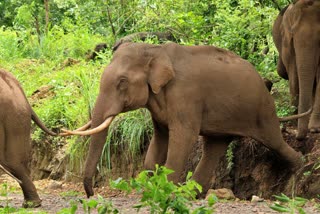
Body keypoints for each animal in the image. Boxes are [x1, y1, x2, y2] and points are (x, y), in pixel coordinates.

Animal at [0, 69, 57, 208]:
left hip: (15, 117)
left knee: (11, 160)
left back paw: (31, 204)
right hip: (17, 116)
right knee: (15, 160)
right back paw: (32, 204)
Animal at [60, 42, 308, 198]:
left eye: (122, 82)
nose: (91, 193)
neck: (155, 51)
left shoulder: (186, 97)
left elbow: (183, 138)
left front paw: (165, 189)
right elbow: (160, 139)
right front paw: (151, 184)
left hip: (262, 110)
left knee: (274, 141)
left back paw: (300, 170)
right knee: (214, 147)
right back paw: (193, 194)